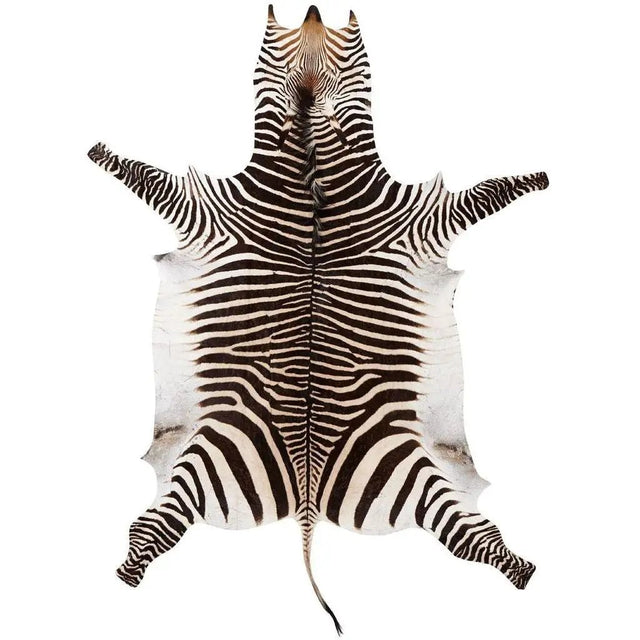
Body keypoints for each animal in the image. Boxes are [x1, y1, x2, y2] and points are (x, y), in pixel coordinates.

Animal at [88, 5, 548, 633]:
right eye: (269, 47)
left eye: (353, 47)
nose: (310, 14)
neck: (311, 173)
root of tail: (306, 503)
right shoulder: (204, 215)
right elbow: (144, 176)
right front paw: (98, 152)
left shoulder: (423, 224)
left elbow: (489, 193)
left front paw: (539, 179)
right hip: (206, 457)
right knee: (153, 529)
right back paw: (124, 574)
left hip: (407, 467)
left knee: (469, 539)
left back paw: (523, 570)